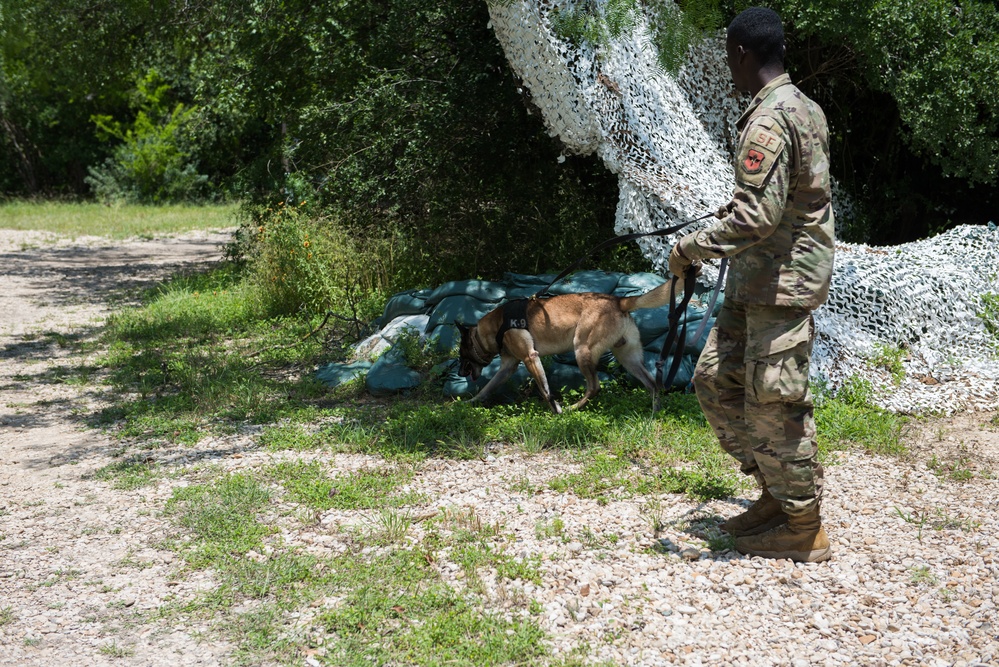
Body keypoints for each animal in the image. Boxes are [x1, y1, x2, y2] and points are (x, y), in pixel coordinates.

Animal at [458, 282, 676, 412]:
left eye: (461, 354)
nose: (459, 373)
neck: (495, 326)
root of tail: (619, 301)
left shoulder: (530, 357)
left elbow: (545, 391)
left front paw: (556, 410)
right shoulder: (507, 368)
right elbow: (487, 388)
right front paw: (469, 402)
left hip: (582, 350)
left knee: (594, 387)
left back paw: (573, 408)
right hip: (628, 358)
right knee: (653, 385)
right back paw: (655, 413)